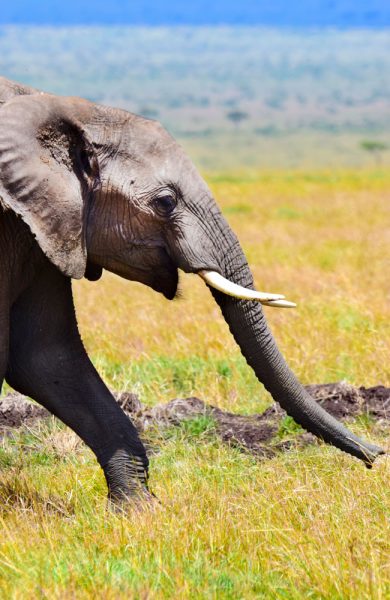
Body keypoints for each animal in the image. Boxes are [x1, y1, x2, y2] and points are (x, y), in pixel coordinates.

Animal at [0, 77, 384, 504]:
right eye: (166, 202)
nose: (376, 456)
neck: (53, 106)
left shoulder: (50, 227)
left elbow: (47, 356)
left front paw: (138, 509)